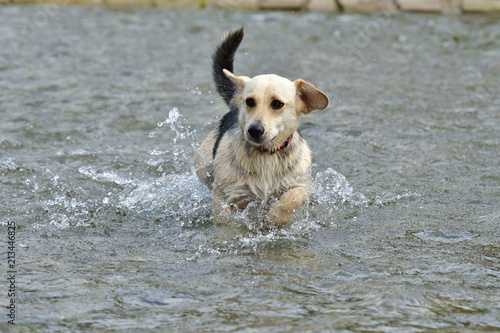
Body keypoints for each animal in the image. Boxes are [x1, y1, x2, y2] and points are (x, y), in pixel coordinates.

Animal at [194, 27, 328, 226]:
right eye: (250, 101)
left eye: (277, 104)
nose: (254, 130)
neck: (266, 154)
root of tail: (234, 103)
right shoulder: (224, 198)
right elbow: (225, 218)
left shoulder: (302, 185)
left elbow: (290, 199)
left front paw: (273, 217)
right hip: (202, 166)